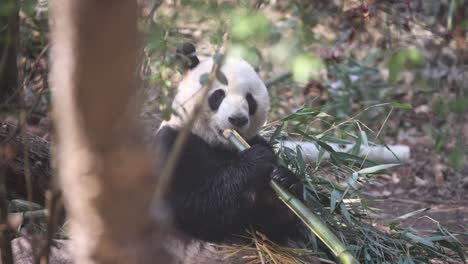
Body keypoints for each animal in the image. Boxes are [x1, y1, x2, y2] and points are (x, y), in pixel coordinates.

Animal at [154, 44, 308, 262]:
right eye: (218, 95)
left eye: (250, 99)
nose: (237, 119)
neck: (219, 145)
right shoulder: (171, 147)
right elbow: (194, 207)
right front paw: (256, 160)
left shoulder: (254, 141)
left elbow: (271, 227)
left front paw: (286, 179)